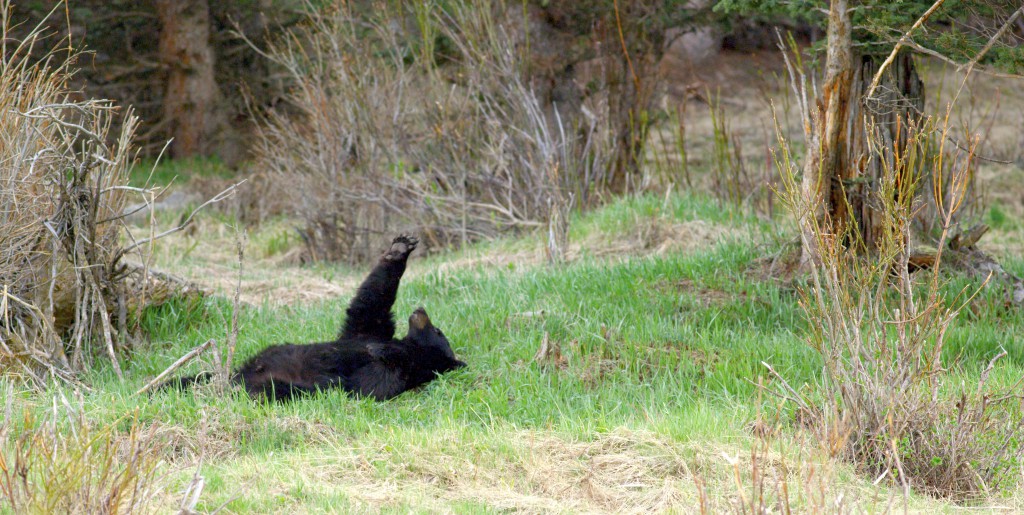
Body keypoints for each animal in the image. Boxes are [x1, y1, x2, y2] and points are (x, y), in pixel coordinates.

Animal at [161, 235, 466, 401]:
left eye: (438, 331)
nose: (420, 310)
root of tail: (240, 374)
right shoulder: (365, 331)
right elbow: (368, 307)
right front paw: (399, 249)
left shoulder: (392, 376)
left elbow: (375, 378)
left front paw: (382, 351)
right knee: (189, 380)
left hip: (281, 386)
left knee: (266, 389)